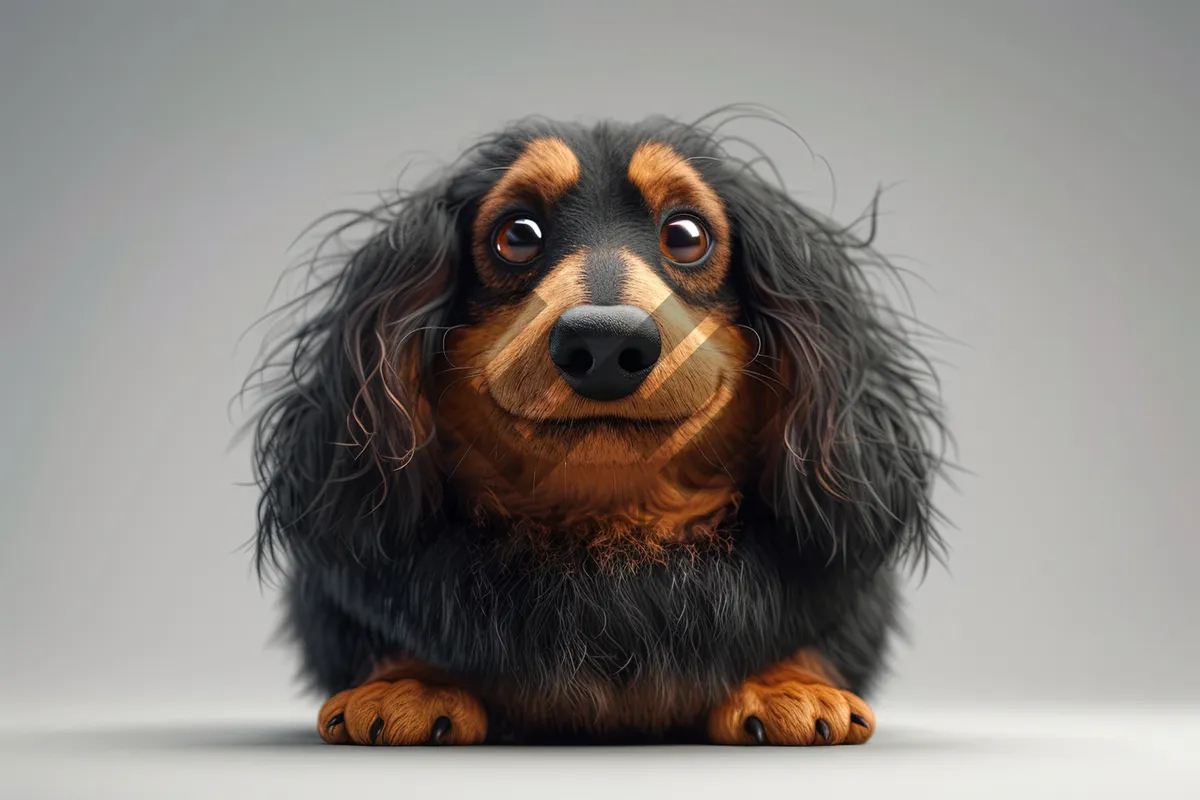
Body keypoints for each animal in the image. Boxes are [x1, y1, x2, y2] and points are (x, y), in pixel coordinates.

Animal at [243, 109, 945, 748]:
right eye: (516, 235)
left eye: (686, 234)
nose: (605, 344)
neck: (608, 533)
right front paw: (406, 684)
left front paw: (788, 686)